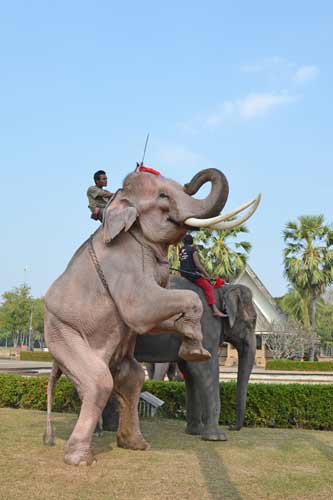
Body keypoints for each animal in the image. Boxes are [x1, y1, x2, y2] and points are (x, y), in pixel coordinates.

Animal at [102, 278, 256, 442]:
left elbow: (191, 372)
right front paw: (217, 437)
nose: (231, 426)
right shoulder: (204, 327)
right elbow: (205, 368)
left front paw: (195, 431)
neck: (220, 290)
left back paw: (109, 429)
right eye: (252, 321)